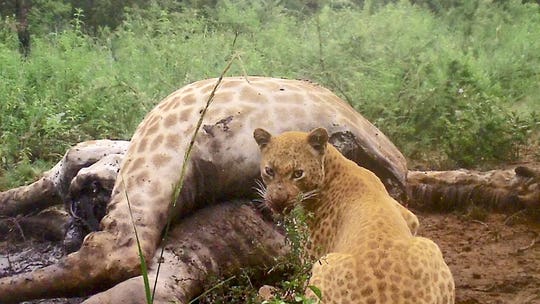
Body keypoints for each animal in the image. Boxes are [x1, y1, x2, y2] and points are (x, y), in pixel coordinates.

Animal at [255, 127, 454, 304]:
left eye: (298, 174)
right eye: (270, 171)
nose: (278, 201)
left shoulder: (310, 256)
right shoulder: (409, 217)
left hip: (323, 264)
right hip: (429, 245)